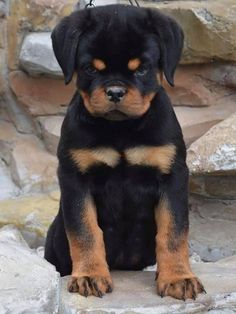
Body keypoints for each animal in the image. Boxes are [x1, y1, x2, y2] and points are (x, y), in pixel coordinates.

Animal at [44, 4, 205, 300]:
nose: (116, 91)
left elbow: (174, 231)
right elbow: (85, 230)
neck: (121, 129)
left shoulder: (173, 176)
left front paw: (178, 278)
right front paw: (90, 276)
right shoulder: (75, 178)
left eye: (142, 69)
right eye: (90, 68)